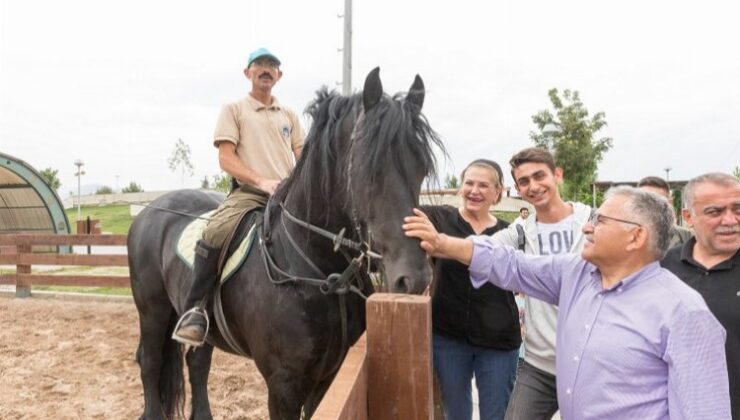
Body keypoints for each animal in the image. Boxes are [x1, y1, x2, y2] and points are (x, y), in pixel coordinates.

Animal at [126, 67, 442, 418]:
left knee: (197, 364)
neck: (316, 267)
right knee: (150, 361)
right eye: (369, 169)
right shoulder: (284, 385)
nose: (414, 278)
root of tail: (151, 210)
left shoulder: (328, 377)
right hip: (152, 309)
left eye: (421, 168)